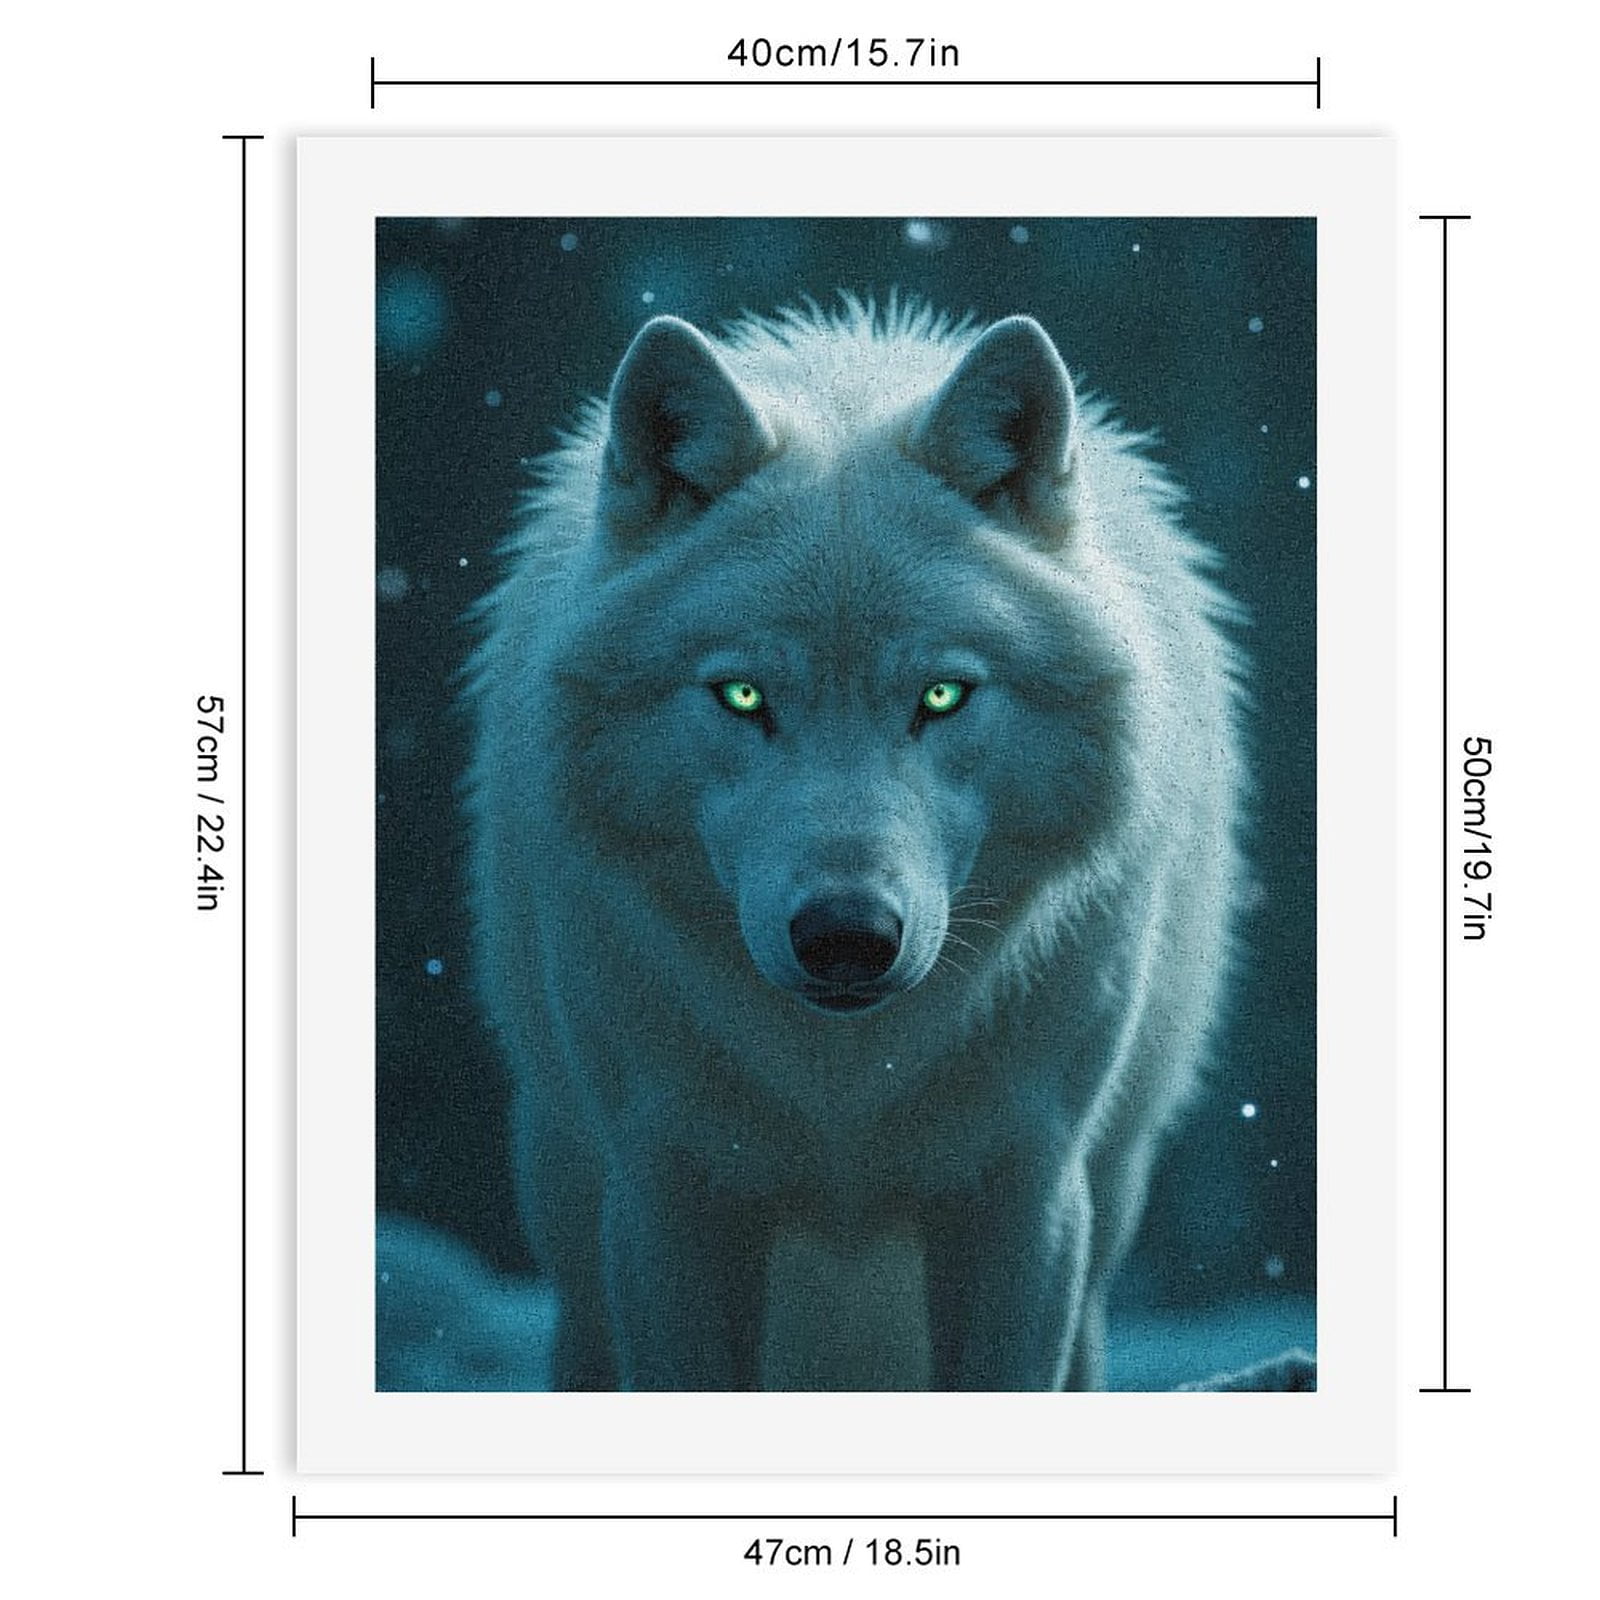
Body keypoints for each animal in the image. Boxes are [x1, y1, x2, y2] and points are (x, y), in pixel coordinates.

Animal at [465, 297, 1244, 1391]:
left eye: (942, 695)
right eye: (743, 696)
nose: (846, 937)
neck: (841, 1088)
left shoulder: (1025, 1188)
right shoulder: (667, 1192)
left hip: (1111, 1195)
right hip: (570, 1201)